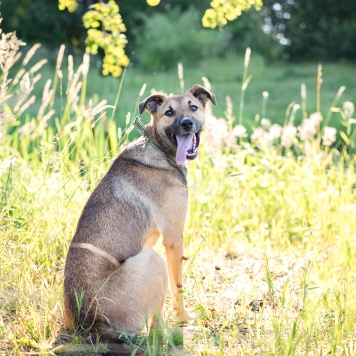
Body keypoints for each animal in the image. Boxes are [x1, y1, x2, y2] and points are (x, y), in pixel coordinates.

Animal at [62, 83, 216, 340]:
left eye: (193, 107)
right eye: (169, 112)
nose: (187, 123)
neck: (159, 150)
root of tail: (91, 325)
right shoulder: (173, 239)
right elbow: (178, 289)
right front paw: (184, 319)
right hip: (153, 260)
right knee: (156, 330)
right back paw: (183, 331)